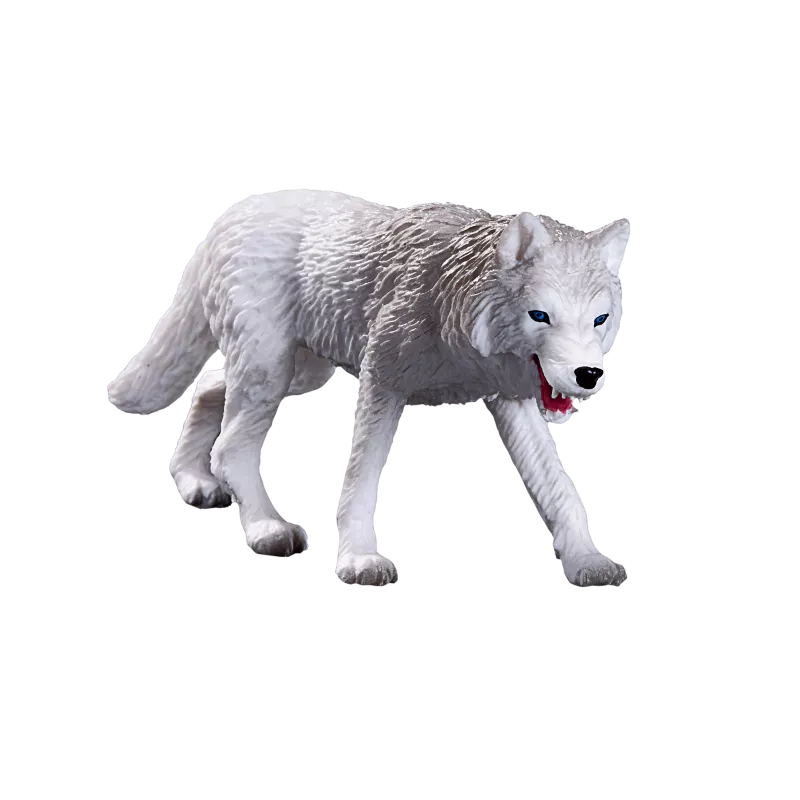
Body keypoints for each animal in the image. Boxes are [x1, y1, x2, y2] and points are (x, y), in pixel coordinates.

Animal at [107, 190, 630, 587]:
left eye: (600, 320)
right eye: (541, 316)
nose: (588, 375)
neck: (456, 299)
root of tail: (232, 213)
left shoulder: (509, 400)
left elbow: (559, 488)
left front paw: (588, 562)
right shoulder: (381, 380)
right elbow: (359, 481)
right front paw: (359, 560)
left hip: (298, 373)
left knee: (208, 385)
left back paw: (193, 482)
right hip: (271, 371)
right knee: (231, 445)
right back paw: (263, 530)